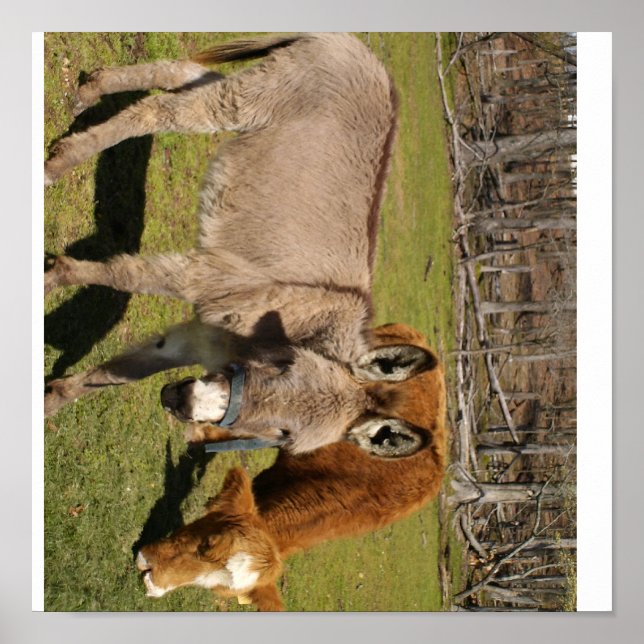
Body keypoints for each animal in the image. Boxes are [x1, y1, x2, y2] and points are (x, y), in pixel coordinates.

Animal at [44, 33, 445, 459]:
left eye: (284, 435)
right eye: (284, 365)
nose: (179, 401)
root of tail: (361, 50)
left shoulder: (194, 339)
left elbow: (115, 374)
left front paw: (52, 399)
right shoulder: (206, 276)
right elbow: (119, 274)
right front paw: (52, 279)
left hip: (257, 92)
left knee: (180, 74)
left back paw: (93, 89)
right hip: (252, 99)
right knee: (161, 111)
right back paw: (57, 164)